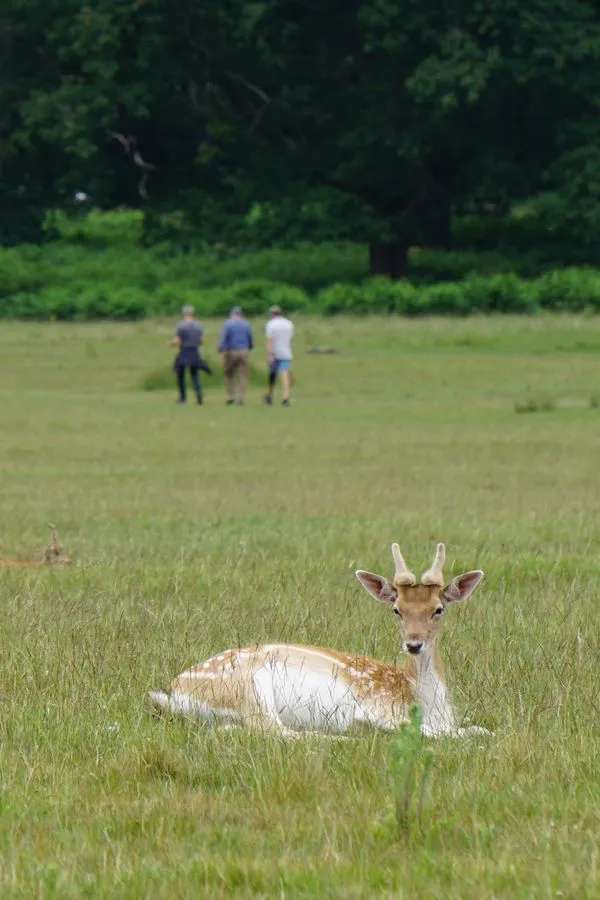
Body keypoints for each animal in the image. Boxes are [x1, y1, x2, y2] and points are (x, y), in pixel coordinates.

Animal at [149, 542, 489, 739]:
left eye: (438, 609)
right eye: (397, 610)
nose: (414, 644)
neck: (426, 699)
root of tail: (171, 692)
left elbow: (477, 728)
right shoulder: (378, 709)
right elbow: (444, 734)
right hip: (248, 686)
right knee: (276, 730)